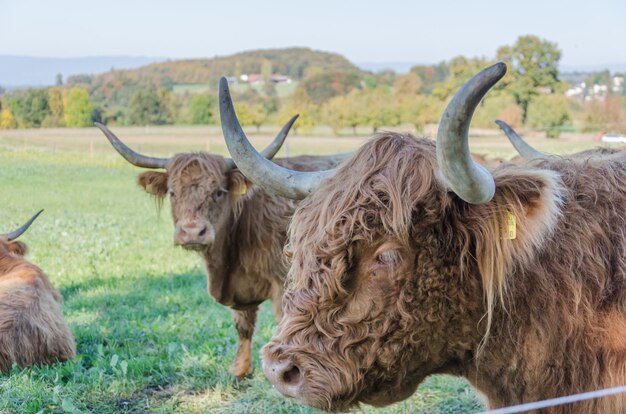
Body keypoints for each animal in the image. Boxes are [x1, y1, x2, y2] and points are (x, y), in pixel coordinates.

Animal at [95, 121, 344, 376]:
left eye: (217, 192)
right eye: (173, 192)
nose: (193, 231)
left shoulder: (284, 284)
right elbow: (243, 326)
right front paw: (240, 370)